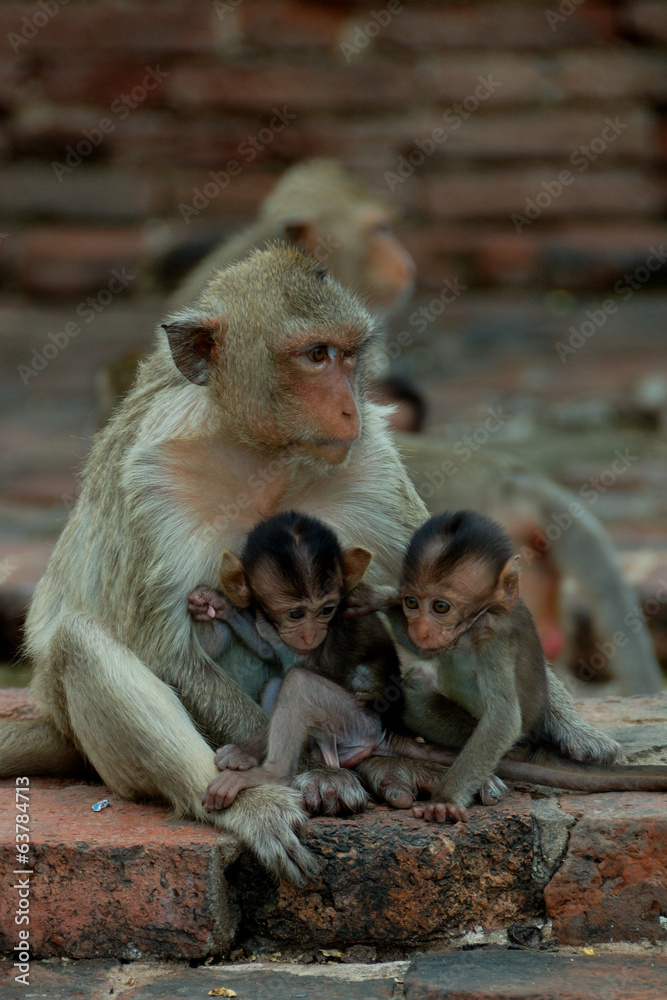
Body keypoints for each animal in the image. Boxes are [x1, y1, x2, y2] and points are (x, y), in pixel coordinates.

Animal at [352, 510, 667, 823]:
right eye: (411, 602)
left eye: (440, 607)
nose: (421, 627)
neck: (475, 624)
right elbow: (420, 648)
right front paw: (376, 597)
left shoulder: (495, 642)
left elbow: (502, 719)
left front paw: (446, 801)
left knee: (413, 703)